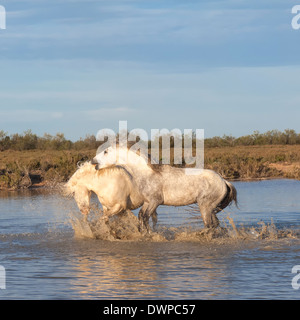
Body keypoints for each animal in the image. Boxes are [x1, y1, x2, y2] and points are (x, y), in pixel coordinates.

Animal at [92, 146, 238, 231]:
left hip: (205, 207)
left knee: (209, 226)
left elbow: (145, 218)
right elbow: (141, 217)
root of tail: (224, 181)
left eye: (105, 151)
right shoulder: (147, 202)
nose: (93, 161)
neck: (147, 173)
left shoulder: (155, 201)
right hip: (211, 208)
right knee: (215, 224)